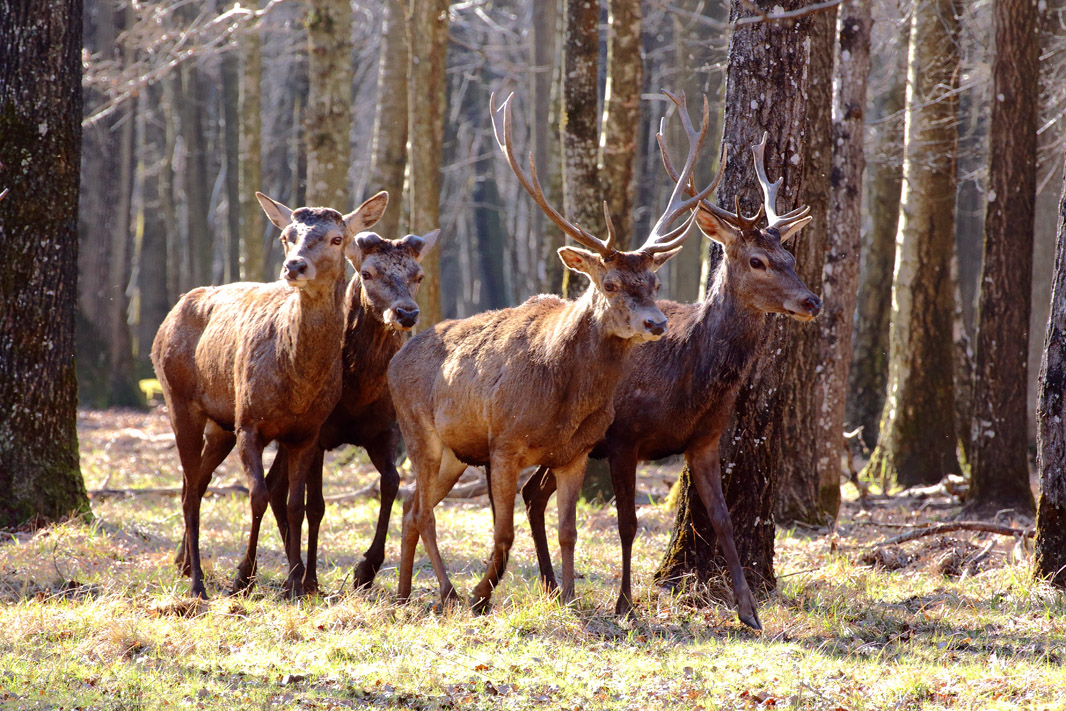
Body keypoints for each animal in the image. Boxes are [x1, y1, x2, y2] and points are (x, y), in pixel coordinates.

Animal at [155, 190, 390, 601]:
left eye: (337, 238)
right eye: (286, 236)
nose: (294, 265)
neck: (296, 385)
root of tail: (168, 317)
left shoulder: (307, 432)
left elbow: (295, 504)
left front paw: (295, 583)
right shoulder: (250, 423)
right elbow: (259, 495)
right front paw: (243, 577)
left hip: (221, 424)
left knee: (195, 481)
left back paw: (183, 564)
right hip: (178, 398)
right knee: (188, 492)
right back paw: (197, 582)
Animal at [264, 229, 439, 596]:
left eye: (418, 275)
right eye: (367, 273)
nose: (406, 313)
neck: (357, 392)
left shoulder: (384, 431)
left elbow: (391, 483)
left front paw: (366, 569)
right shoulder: (317, 435)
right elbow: (315, 505)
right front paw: (310, 579)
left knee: (274, 484)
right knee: (277, 486)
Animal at [383, 91, 716, 613]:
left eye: (656, 282)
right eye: (610, 283)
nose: (656, 323)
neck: (564, 397)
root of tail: (394, 361)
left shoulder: (575, 453)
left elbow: (568, 531)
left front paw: (572, 597)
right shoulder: (503, 443)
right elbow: (503, 533)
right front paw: (482, 595)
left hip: (456, 452)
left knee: (413, 506)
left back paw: (404, 591)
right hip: (419, 431)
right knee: (421, 508)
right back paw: (448, 591)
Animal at [520, 93, 818, 626]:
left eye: (789, 255)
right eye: (757, 261)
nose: (812, 301)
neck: (691, 378)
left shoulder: (705, 439)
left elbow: (723, 522)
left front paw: (749, 612)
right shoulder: (623, 436)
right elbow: (628, 524)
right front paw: (624, 604)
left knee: (534, 495)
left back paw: (553, 587)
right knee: (534, 493)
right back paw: (556, 588)